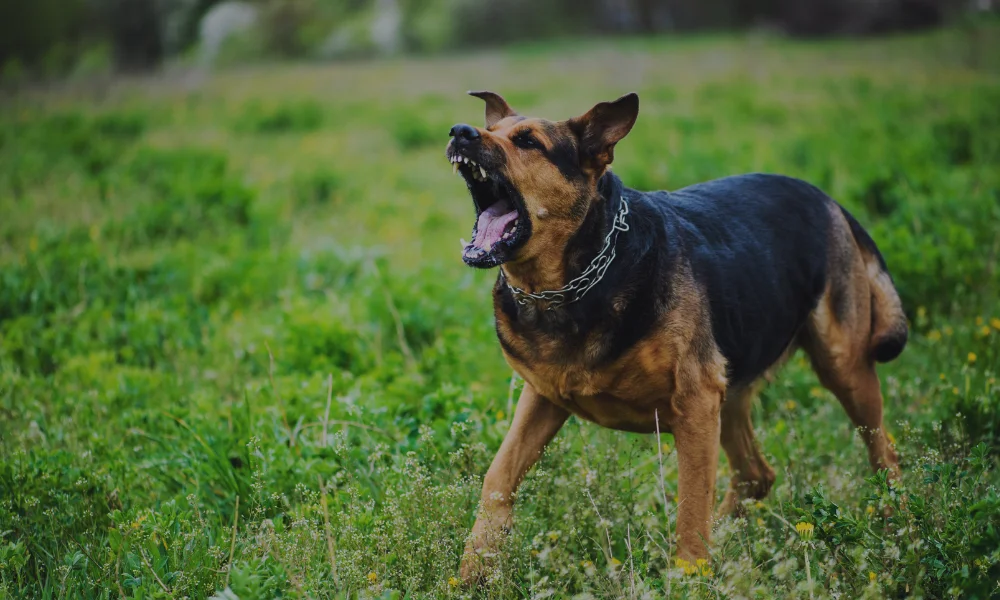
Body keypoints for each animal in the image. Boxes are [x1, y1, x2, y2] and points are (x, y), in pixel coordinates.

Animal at [446, 90, 908, 580]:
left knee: (884, 455)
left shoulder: (695, 402)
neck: (572, 281)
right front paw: (473, 570)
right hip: (733, 387)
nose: (461, 132)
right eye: (490, 130)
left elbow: (691, 505)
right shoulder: (543, 398)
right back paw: (728, 535)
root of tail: (830, 201)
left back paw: (898, 528)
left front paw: (689, 578)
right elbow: (498, 476)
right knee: (756, 474)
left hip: (843, 368)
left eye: (528, 141)